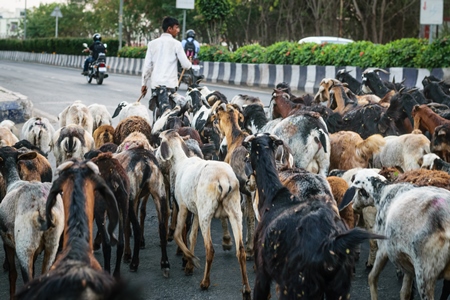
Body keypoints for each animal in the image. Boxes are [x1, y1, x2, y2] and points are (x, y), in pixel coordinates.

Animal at [156, 130, 251, 298]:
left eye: (160, 141)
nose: (155, 156)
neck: (180, 162)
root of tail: (224, 180)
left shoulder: (183, 206)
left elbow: (178, 235)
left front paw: (191, 260)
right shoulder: (196, 212)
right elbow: (192, 237)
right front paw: (189, 265)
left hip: (206, 212)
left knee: (210, 249)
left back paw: (205, 283)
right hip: (234, 212)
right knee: (240, 251)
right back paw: (246, 289)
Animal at [340, 170, 450, 298]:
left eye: (358, 191)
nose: (353, 206)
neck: (383, 191)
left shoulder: (384, 249)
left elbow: (372, 277)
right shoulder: (408, 259)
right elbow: (405, 292)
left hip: (425, 273)